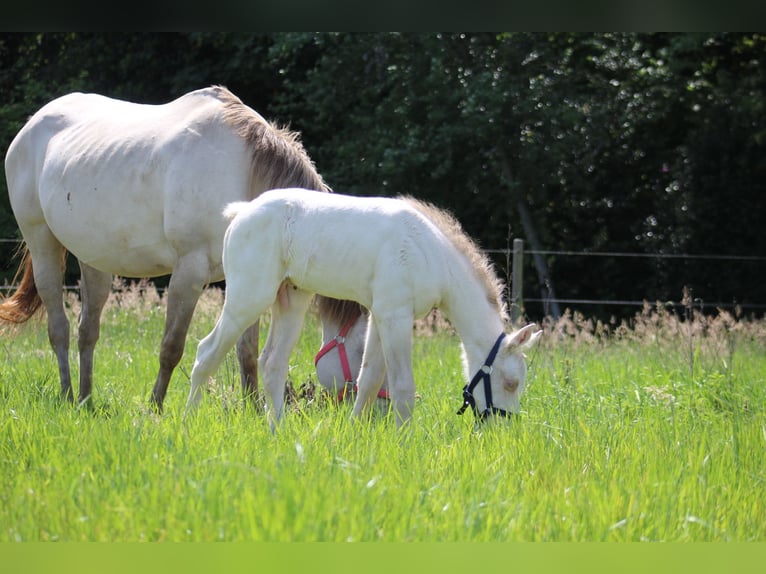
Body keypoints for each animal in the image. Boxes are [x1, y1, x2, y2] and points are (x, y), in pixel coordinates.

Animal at [0, 85, 355, 410]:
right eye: (361, 348)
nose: (359, 409)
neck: (242, 170)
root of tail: (32, 124)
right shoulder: (189, 271)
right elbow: (171, 347)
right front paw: (155, 408)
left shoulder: (249, 277)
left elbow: (247, 351)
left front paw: (253, 409)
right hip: (42, 243)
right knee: (58, 327)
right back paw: (67, 395)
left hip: (94, 259)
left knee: (88, 330)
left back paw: (86, 401)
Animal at [185, 188, 542, 428]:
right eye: (511, 383)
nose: (502, 428)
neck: (430, 254)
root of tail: (242, 212)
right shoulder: (395, 317)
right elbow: (402, 387)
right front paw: (405, 443)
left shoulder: (381, 316)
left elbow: (368, 380)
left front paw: (354, 432)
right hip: (248, 298)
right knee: (206, 353)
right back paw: (187, 425)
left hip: (292, 300)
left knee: (272, 363)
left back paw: (277, 430)